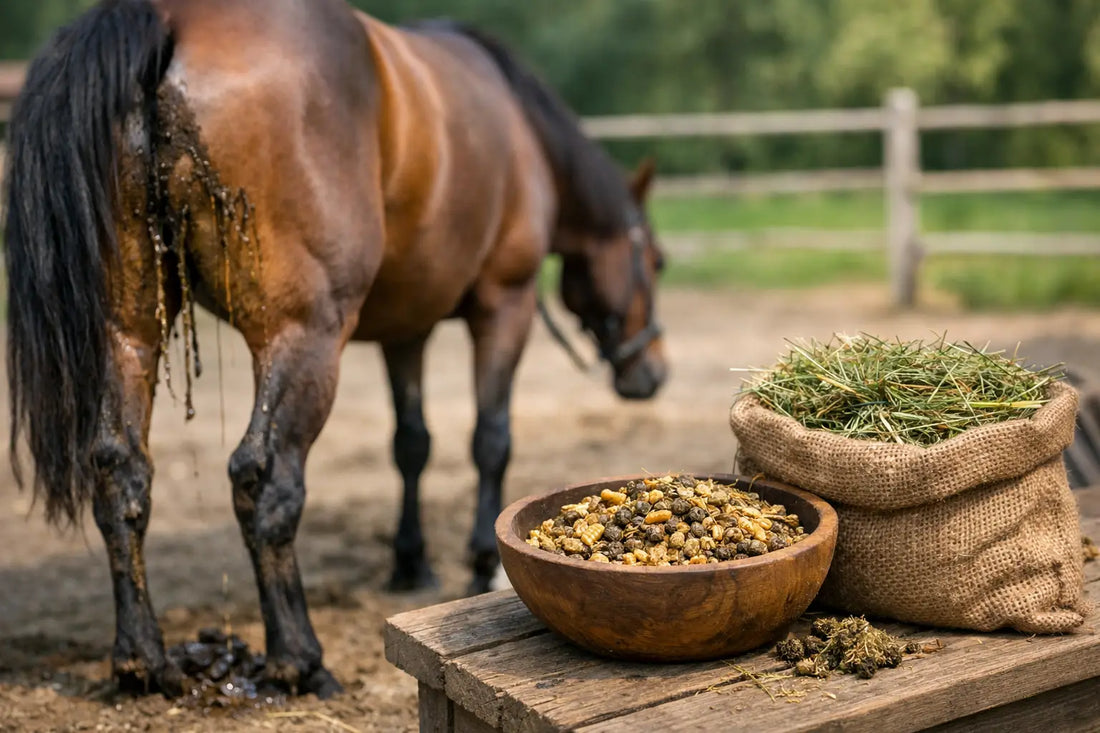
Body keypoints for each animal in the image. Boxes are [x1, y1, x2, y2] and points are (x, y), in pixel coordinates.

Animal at [3, 0, 667, 697]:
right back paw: (299, 658)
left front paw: (411, 562)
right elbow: (490, 440)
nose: (650, 374)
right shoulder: (502, 306)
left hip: (129, 332)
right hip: (304, 338)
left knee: (121, 472)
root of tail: (168, 20)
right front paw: (481, 561)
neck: (522, 132)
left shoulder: (407, 328)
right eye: (656, 261)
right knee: (264, 479)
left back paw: (143, 662)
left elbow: (411, 445)